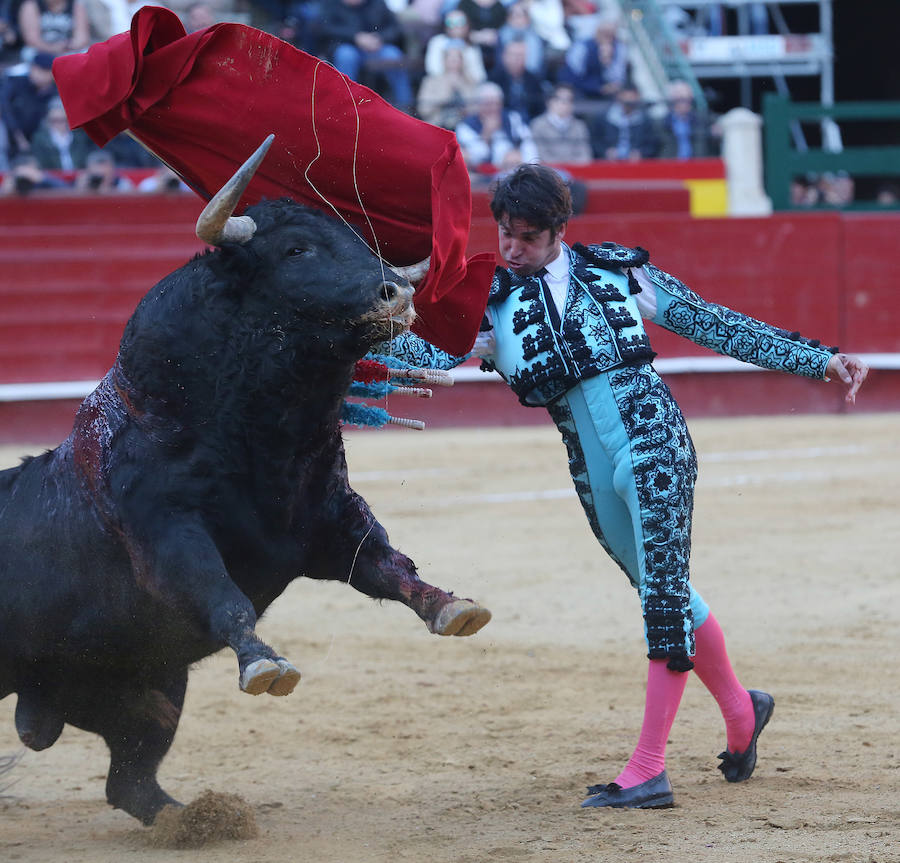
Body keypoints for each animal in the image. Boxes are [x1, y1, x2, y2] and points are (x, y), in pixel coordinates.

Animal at [0, 194, 488, 824]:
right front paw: (264, 663)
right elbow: (221, 593)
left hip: (153, 690)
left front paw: (452, 606)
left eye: (361, 240)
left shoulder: (333, 520)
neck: (261, 438)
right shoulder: (165, 532)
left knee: (130, 780)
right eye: (296, 249)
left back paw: (188, 822)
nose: (399, 293)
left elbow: (389, 565)